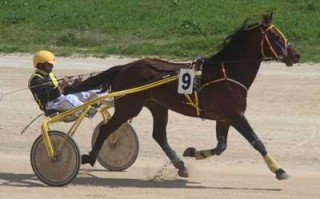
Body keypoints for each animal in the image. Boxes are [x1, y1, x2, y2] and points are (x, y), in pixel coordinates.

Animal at [67, 12, 300, 180]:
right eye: (275, 36)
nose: (296, 55)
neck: (228, 72)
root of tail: (124, 67)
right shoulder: (235, 114)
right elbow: (256, 141)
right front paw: (279, 170)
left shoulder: (224, 117)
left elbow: (221, 146)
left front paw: (192, 152)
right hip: (129, 106)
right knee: (107, 129)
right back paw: (89, 157)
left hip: (158, 106)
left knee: (159, 135)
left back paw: (180, 165)